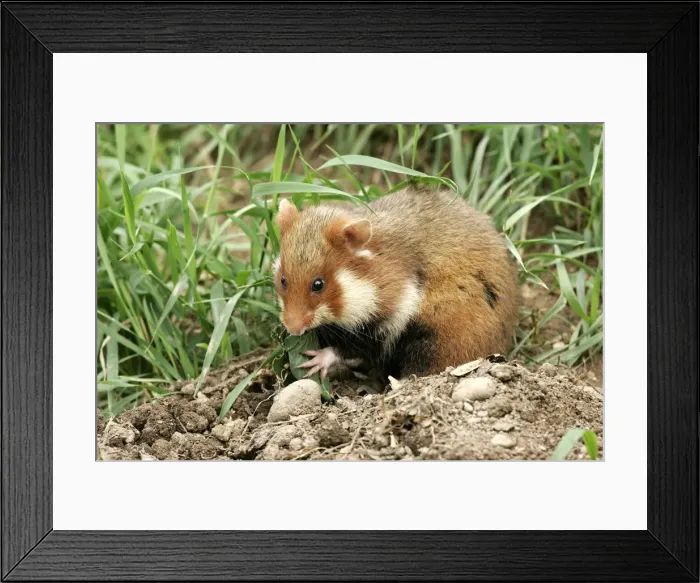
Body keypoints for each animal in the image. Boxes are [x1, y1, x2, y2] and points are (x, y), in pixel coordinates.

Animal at [272, 185, 520, 381]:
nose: (292, 328)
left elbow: (351, 349)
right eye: (283, 280)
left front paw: (314, 361)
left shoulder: (391, 319)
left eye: (318, 284)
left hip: (441, 336)